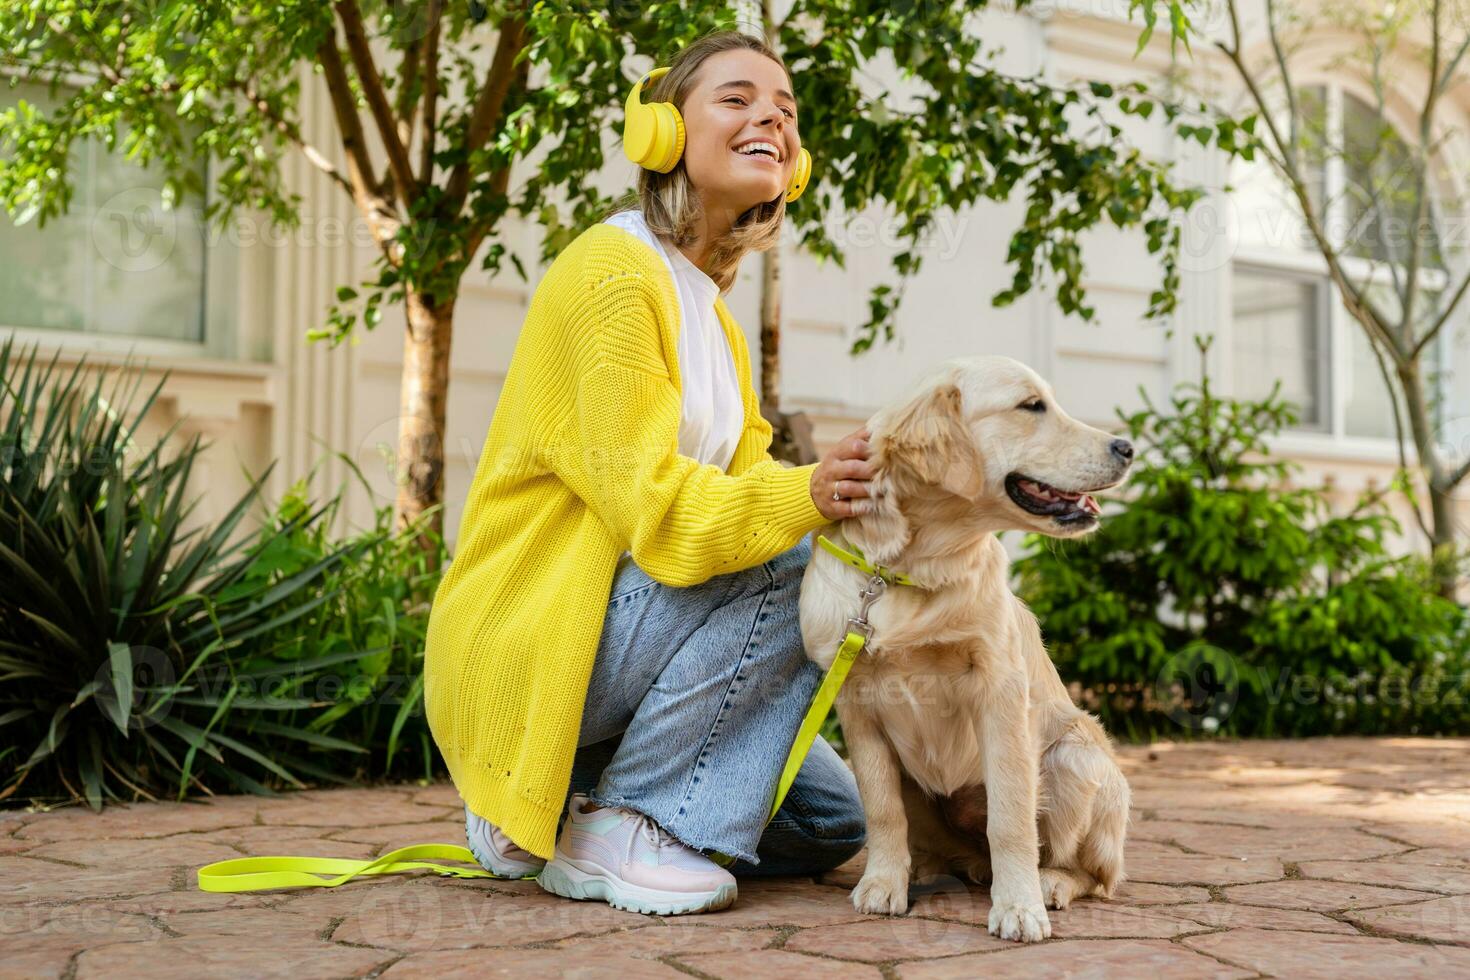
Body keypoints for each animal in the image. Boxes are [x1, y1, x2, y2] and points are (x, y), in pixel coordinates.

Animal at [805, 352, 1134, 940]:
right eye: (1031, 406)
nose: (1128, 448)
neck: (912, 569)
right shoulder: (857, 704)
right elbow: (882, 808)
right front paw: (882, 883)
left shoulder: (1000, 693)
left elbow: (1010, 816)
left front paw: (1019, 906)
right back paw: (926, 871)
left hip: (1073, 757)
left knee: (1094, 874)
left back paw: (1050, 883)